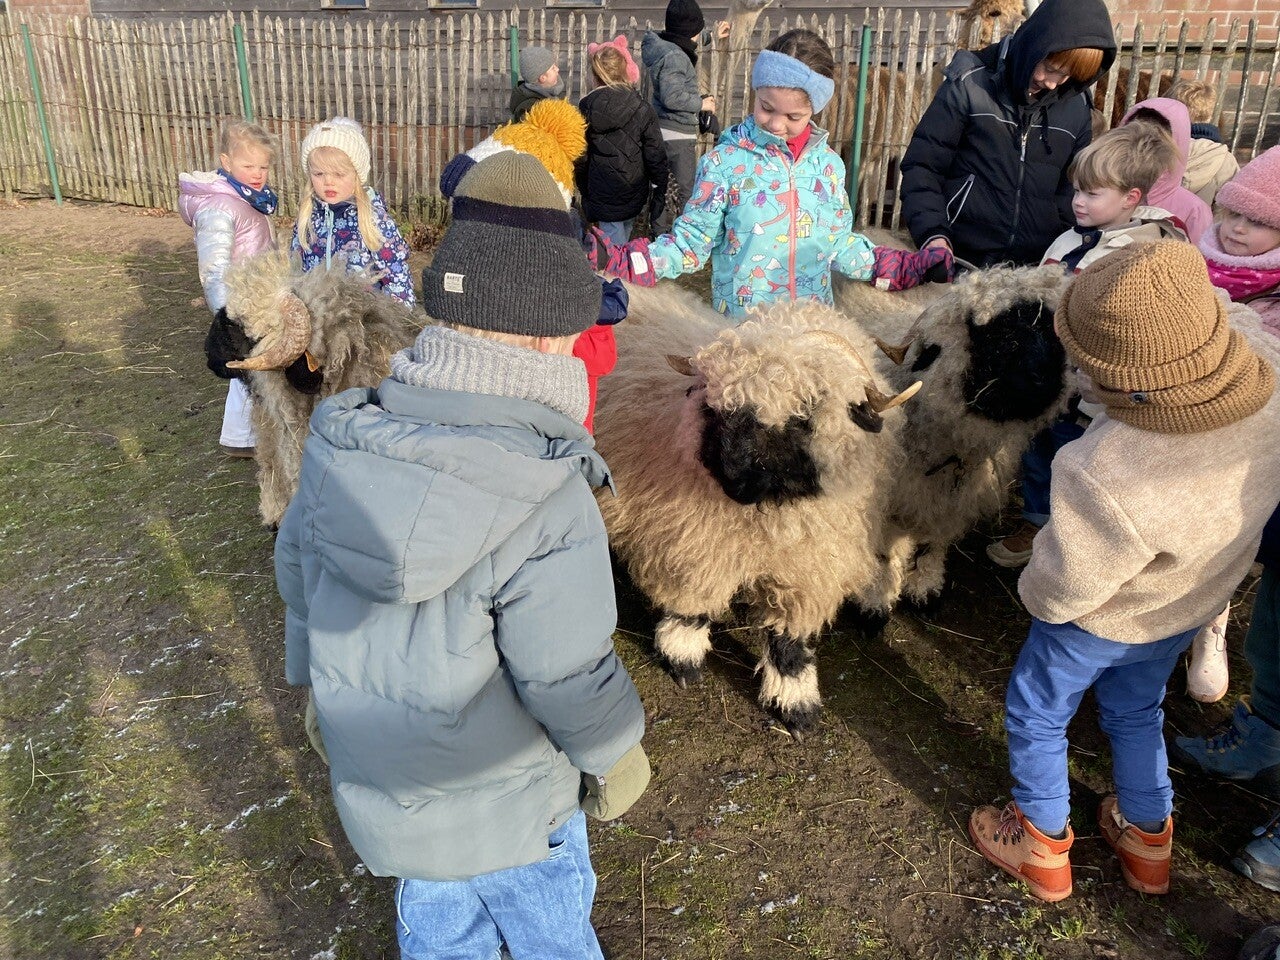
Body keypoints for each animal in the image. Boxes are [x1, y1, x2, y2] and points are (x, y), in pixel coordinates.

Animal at [592, 282, 919, 737]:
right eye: (715, 406)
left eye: (805, 415)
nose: (733, 476)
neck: (767, 518)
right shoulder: (690, 540)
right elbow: (690, 601)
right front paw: (682, 656)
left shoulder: (808, 567)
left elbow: (789, 640)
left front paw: (795, 703)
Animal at [835, 264, 1072, 608]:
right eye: (997, 337)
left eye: (1056, 337)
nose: (1046, 380)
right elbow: (882, 543)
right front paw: (878, 590)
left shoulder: (956, 500)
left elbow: (936, 539)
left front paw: (925, 580)